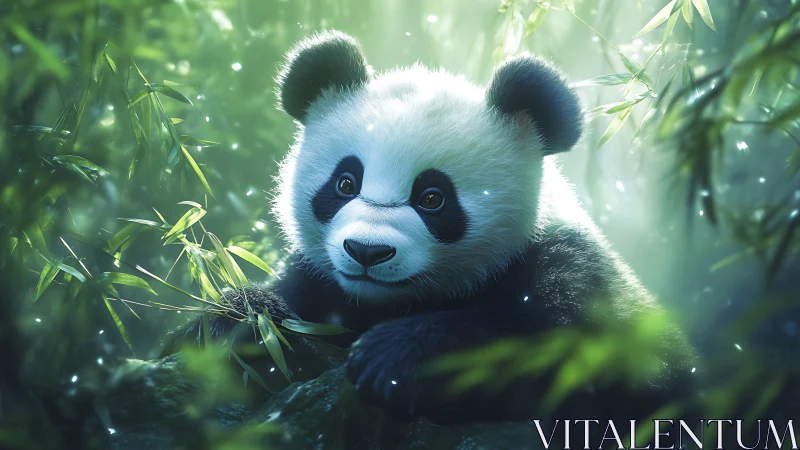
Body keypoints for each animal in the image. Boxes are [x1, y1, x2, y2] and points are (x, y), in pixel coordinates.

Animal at [164, 30, 695, 426]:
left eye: (432, 198)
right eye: (345, 183)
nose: (367, 252)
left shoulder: (566, 263)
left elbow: (569, 342)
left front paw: (395, 357)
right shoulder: (319, 282)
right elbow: (279, 310)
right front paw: (234, 323)